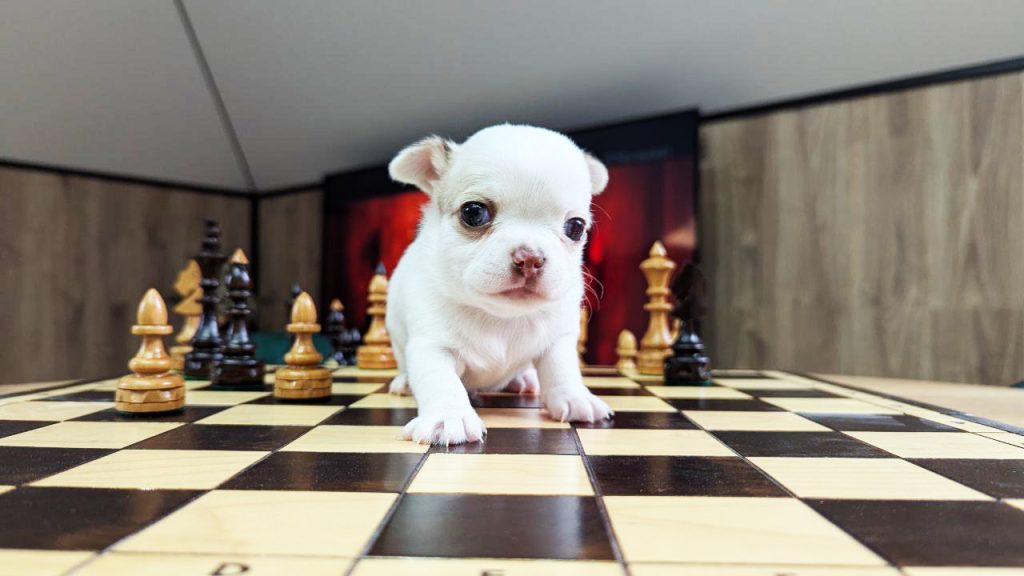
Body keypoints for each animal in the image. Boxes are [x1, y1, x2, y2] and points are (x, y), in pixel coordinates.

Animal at [384, 124, 614, 445]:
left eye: (576, 227)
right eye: (473, 212)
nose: (530, 258)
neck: (501, 316)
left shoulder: (558, 339)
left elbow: (562, 368)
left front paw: (575, 397)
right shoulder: (433, 346)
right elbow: (441, 380)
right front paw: (449, 416)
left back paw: (524, 379)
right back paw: (404, 382)